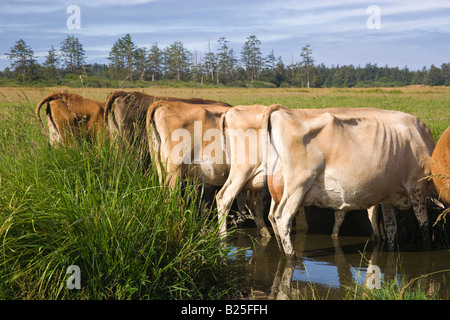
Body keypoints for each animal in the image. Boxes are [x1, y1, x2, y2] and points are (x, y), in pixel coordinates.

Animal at [264, 106, 436, 256]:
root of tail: (281, 112)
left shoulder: (389, 196)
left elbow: (391, 228)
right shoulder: (417, 187)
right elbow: (424, 226)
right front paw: (428, 250)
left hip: (279, 188)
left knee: (272, 216)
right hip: (298, 185)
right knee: (283, 218)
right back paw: (290, 256)